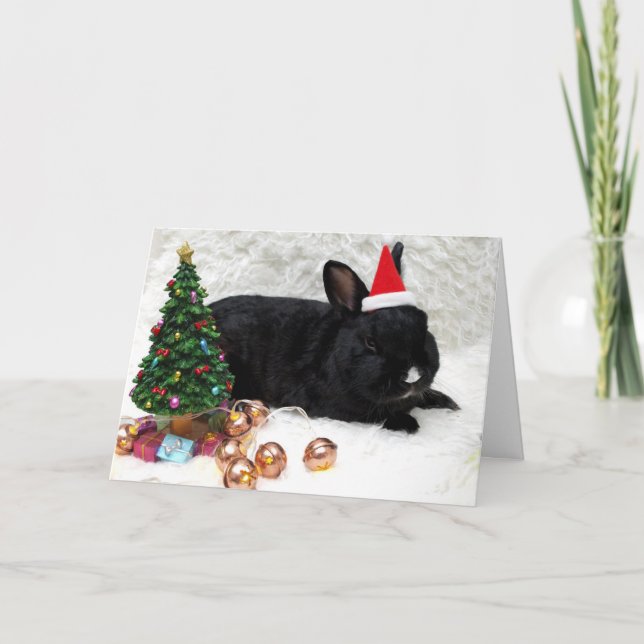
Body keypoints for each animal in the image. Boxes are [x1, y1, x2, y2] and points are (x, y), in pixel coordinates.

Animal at [209, 242, 458, 433]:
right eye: (371, 343)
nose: (413, 377)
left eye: (425, 327)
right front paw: (407, 422)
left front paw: (447, 402)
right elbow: (376, 414)